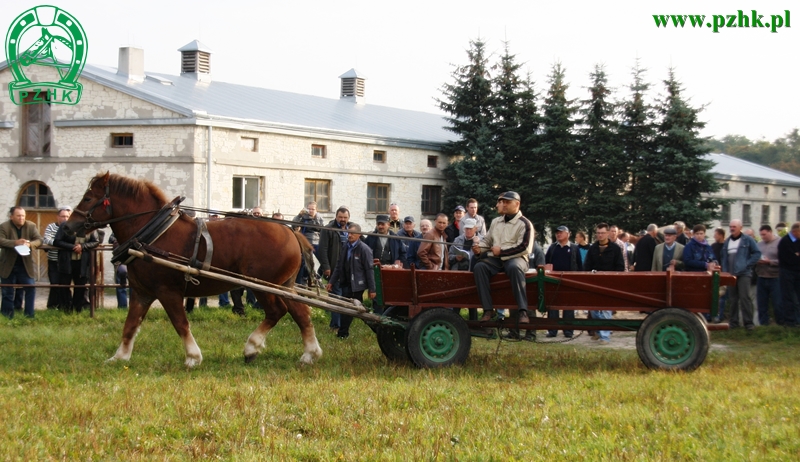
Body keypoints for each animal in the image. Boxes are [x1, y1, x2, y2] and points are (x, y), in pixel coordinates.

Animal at [63, 173, 322, 368]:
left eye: (88, 198)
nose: (67, 226)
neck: (154, 235)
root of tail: (291, 232)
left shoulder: (167, 291)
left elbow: (180, 323)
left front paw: (193, 357)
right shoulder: (142, 292)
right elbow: (130, 324)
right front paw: (119, 356)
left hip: (262, 285)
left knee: (277, 312)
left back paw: (251, 348)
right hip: (284, 285)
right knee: (301, 313)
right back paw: (309, 353)